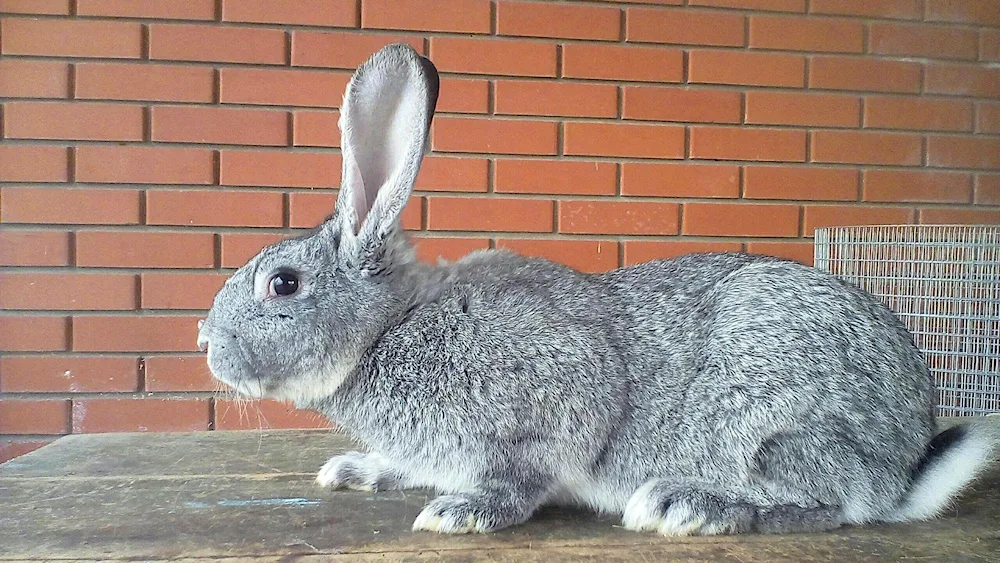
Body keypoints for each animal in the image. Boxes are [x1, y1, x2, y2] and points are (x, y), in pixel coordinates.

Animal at [199, 44, 996, 536]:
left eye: (282, 283)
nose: (205, 343)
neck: (387, 328)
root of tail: (902, 461)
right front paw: (356, 470)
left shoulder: (554, 397)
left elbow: (525, 470)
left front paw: (465, 512)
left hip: (771, 419)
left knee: (833, 500)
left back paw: (689, 506)